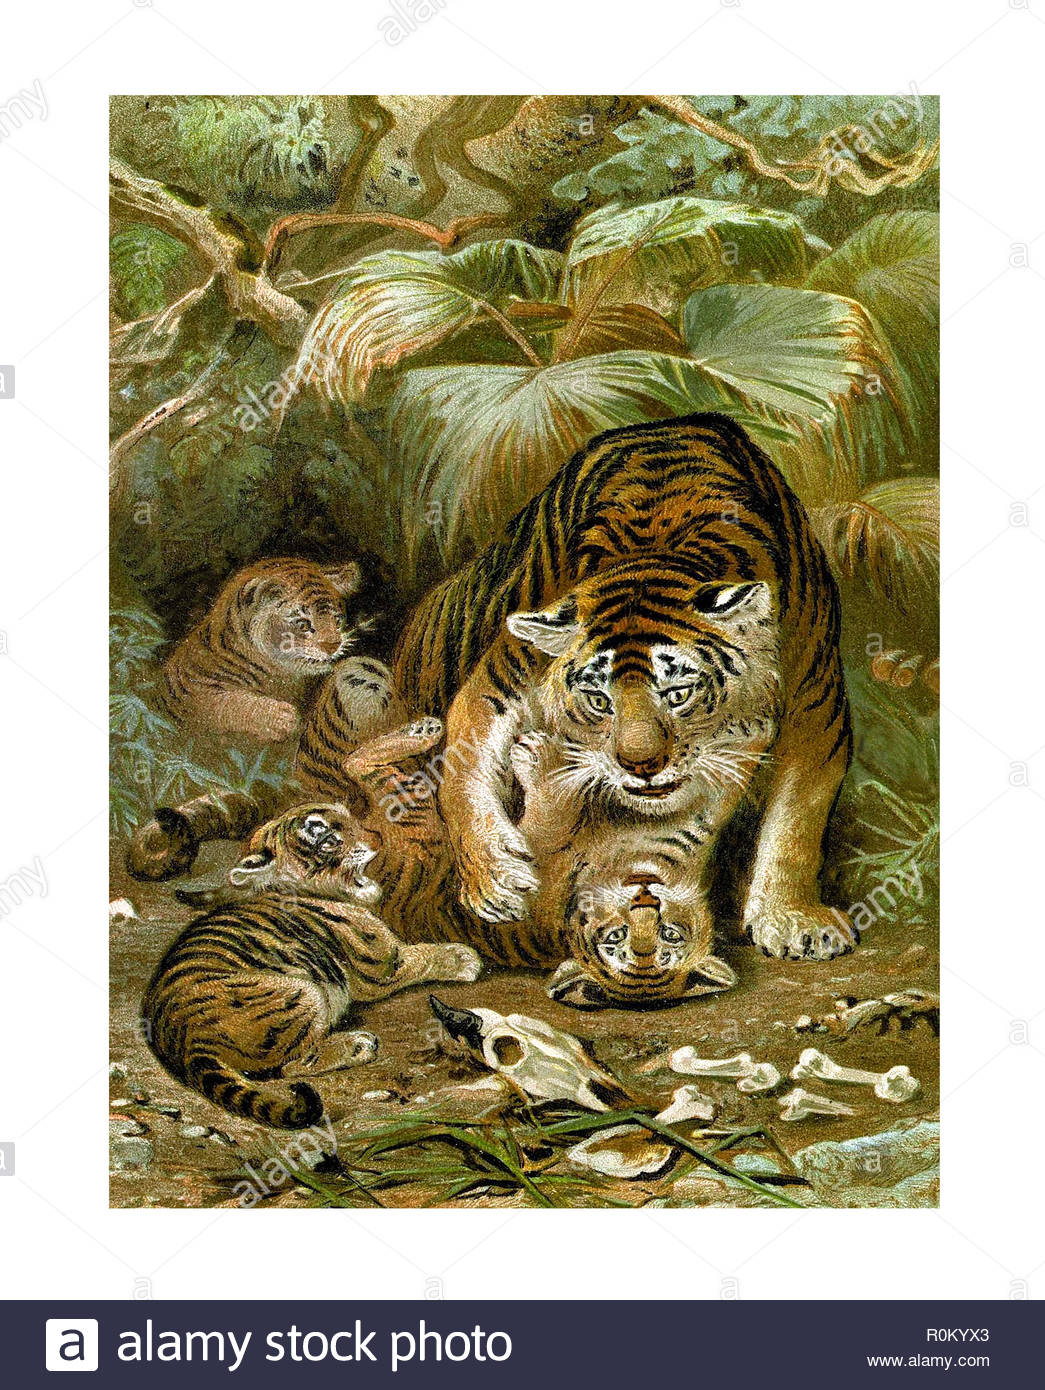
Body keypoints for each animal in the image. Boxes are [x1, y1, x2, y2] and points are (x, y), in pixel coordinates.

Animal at [142, 789, 481, 1130]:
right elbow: (422, 956)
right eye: (328, 839)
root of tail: (185, 1042)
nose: (377, 838)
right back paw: (357, 1045)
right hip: (307, 993)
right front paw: (464, 957)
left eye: (349, 817)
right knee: (290, 1066)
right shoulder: (382, 964)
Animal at [159, 556, 364, 744]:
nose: (333, 645)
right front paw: (281, 717)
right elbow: (223, 704)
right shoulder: (193, 694)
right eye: (304, 624)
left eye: (336, 619)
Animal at [394, 411, 855, 963]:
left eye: (678, 694)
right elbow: (462, 764)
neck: (659, 544)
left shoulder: (817, 701)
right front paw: (493, 880)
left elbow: (797, 819)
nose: (640, 765)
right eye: (599, 700)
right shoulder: (504, 673)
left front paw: (793, 918)